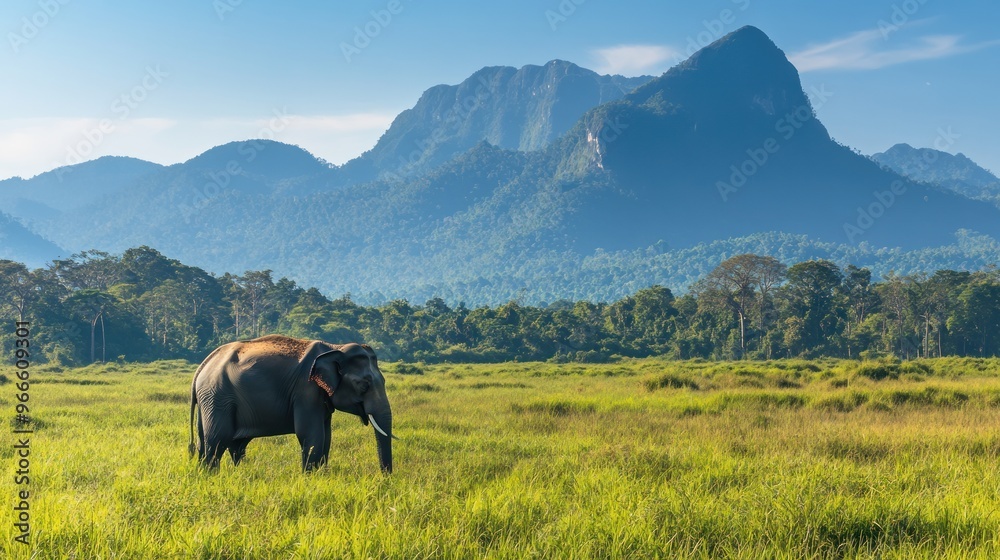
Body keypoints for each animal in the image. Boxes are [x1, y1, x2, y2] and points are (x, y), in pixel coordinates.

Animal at [188, 334, 394, 473]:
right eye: (364, 385)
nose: (385, 479)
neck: (335, 347)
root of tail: (203, 366)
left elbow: (326, 436)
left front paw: (321, 476)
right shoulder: (306, 390)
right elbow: (311, 434)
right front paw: (310, 478)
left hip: (208, 400)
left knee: (217, 443)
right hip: (217, 397)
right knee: (217, 439)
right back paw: (211, 475)